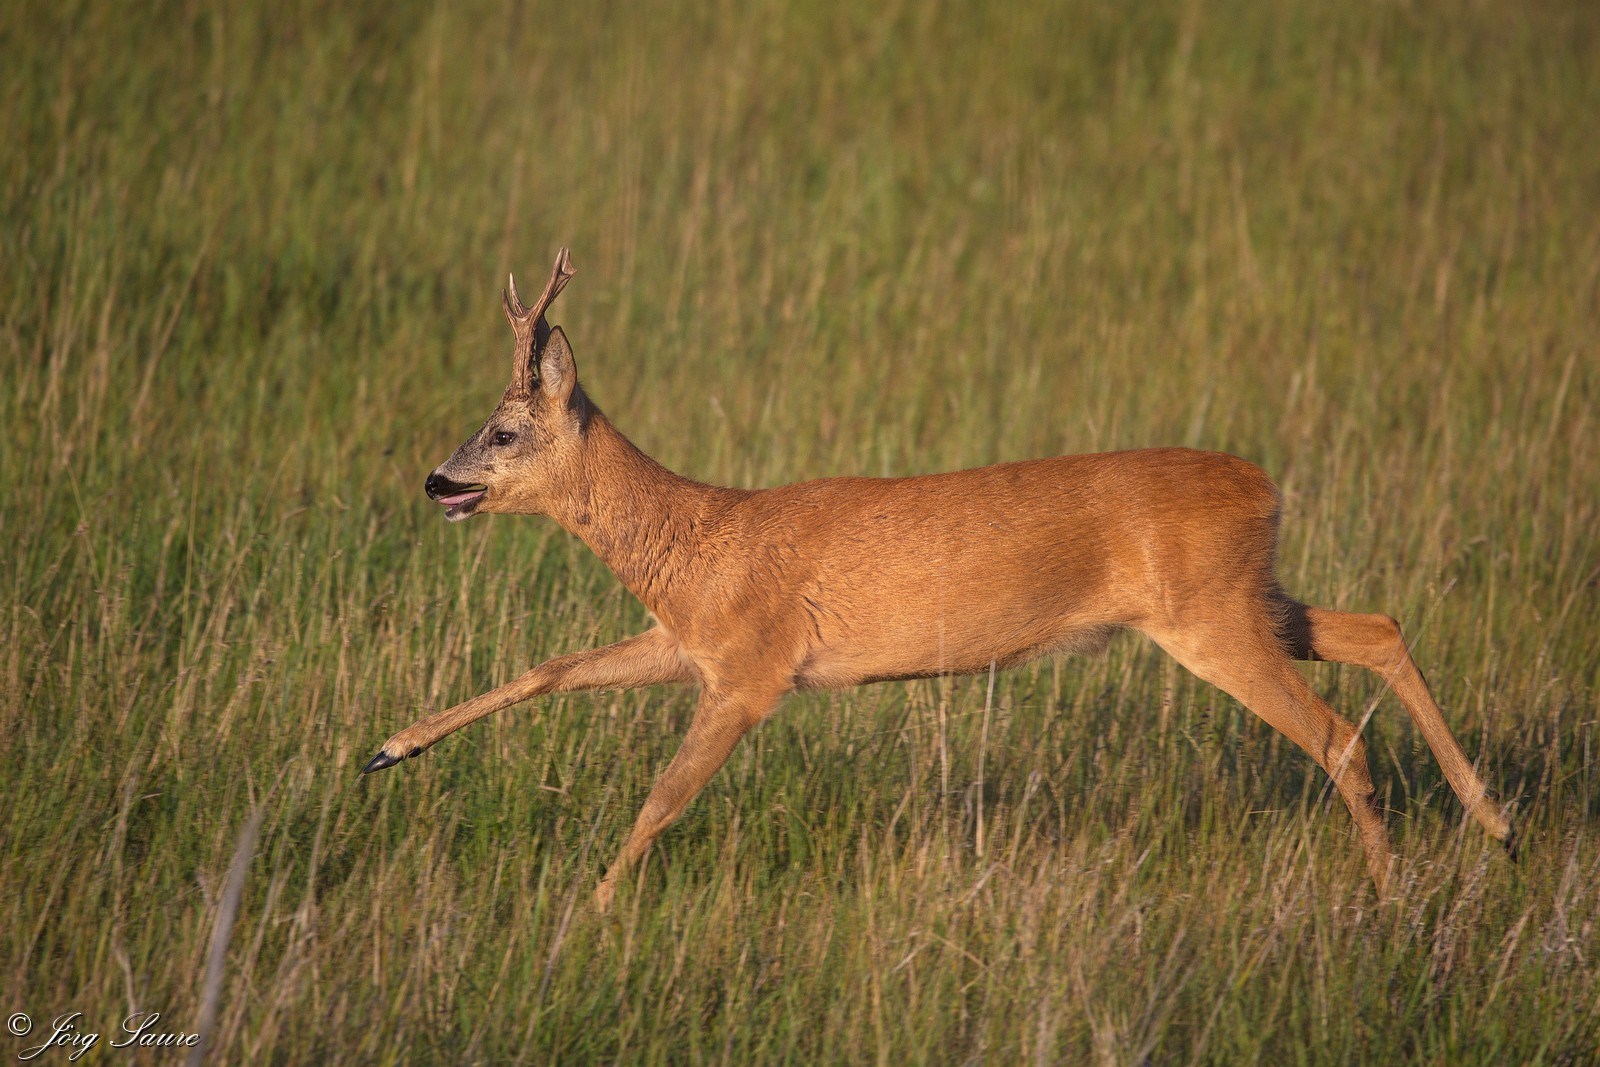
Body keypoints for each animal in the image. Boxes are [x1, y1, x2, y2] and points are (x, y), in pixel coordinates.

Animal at [362, 247, 1515, 912]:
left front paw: (588, 912)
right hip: (1251, 600)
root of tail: (1265, 484)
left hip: (1211, 621)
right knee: (1378, 626)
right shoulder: (691, 643)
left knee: (1338, 731)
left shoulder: (751, 668)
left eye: (503, 430)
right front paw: (386, 749)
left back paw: (1393, 898)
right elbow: (552, 667)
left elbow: (662, 795)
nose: (436, 480)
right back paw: (1493, 823)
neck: (699, 533)